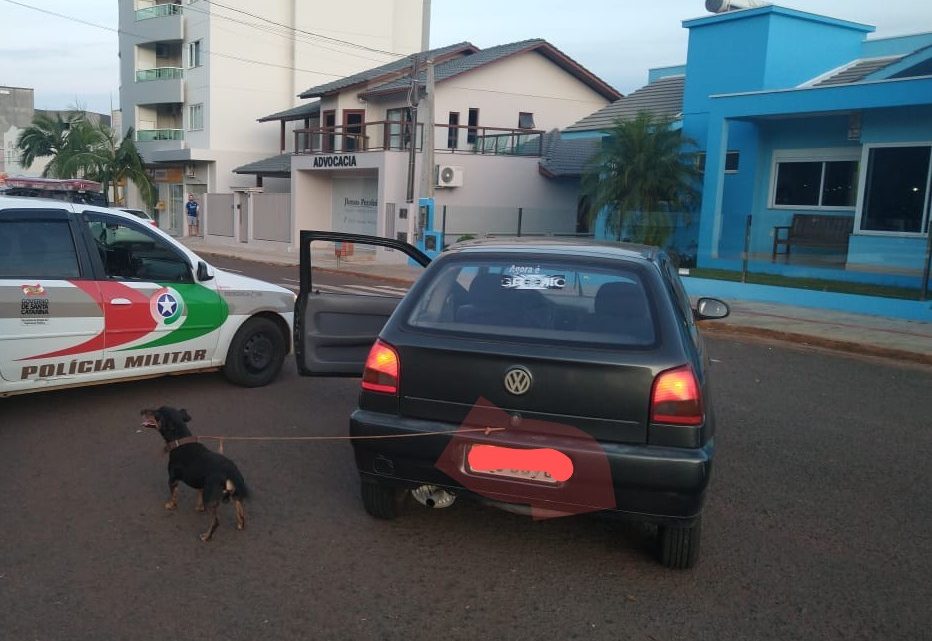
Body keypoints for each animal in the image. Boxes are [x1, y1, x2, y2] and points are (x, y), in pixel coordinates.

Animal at [141, 404, 249, 540]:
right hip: (234, 495)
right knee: (241, 511)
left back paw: (206, 536)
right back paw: (240, 525)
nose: (141, 411)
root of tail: (231, 472)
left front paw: (171, 505)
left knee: (216, 522)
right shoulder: (200, 484)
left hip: (210, 498)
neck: (180, 441)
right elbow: (199, 496)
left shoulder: (172, 480)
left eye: (157, 413)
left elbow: (173, 495)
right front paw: (199, 508)